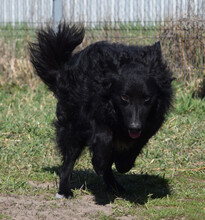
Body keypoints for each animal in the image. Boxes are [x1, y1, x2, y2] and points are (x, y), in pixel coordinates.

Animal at [29, 23, 172, 199]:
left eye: (147, 99)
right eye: (124, 97)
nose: (134, 126)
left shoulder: (149, 124)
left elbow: (135, 145)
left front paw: (123, 162)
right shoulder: (94, 113)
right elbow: (103, 135)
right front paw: (98, 162)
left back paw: (114, 185)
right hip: (72, 126)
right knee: (69, 159)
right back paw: (65, 190)